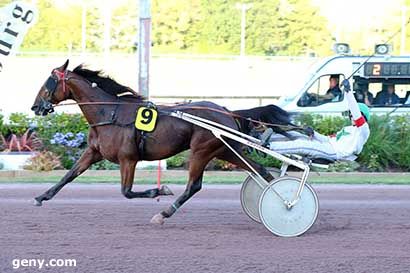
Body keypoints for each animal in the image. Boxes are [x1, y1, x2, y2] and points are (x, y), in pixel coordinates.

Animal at [29, 60, 298, 224]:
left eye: (48, 83)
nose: (35, 107)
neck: (110, 112)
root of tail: (227, 111)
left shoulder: (128, 159)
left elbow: (126, 192)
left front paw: (160, 190)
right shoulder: (94, 152)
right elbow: (69, 175)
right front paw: (41, 197)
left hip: (201, 150)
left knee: (194, 186)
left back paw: (164, 213)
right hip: (224, 150)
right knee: (260, 170)